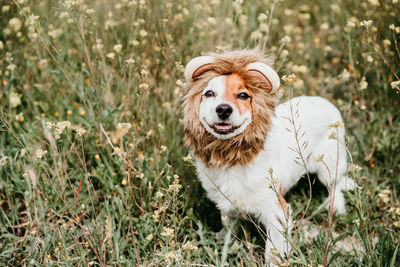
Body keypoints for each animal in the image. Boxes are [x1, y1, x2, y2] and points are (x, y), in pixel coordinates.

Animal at [181, 50, 356, 266]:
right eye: (209, 93)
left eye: (243, 95)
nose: (223, 109)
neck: (234, 158)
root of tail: (325, 102)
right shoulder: (228, 202)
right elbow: (229, 222)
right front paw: (224, 237)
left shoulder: (277, 211)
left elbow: (273, 249)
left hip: (329, 166)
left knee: (335, 187)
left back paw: (337, 208)